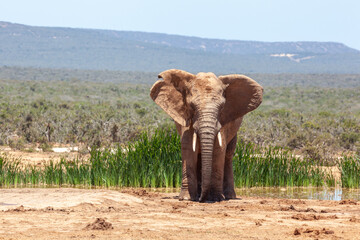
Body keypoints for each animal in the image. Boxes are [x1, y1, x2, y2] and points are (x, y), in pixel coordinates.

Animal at [150, 69, 262, 202]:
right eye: (192, 106)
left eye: (222, 107)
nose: (201, 199)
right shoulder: (186, 117)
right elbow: (188, 148)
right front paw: (187, 198)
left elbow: (219, 149)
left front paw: (216, 198)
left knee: (228, 155)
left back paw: (229, 196)